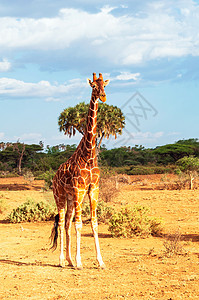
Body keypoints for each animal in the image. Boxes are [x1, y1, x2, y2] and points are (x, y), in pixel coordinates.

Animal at [50, 72, 109, 270]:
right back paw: (62, 261)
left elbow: (94, 223)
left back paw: (68, 260)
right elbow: (79, 224)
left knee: (67, 223)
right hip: (60, 196)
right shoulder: (79, 189)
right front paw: (79, 262)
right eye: (94, 86)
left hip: (69, 198)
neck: (89, 154)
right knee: (62, 223)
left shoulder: (93, 188)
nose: (103, 96)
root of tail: (54, 178)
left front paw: (101, 262)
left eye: (105, 85)